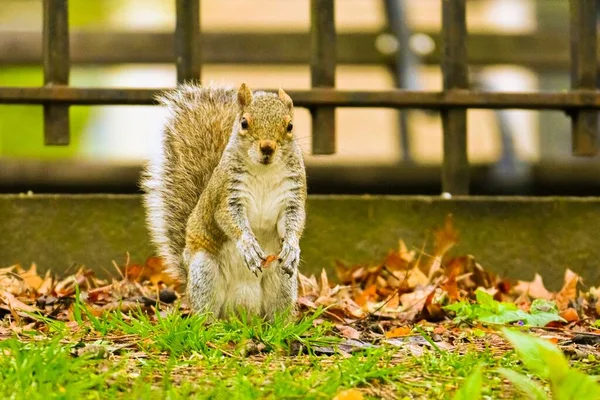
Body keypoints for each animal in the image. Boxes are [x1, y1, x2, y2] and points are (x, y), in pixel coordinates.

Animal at [140, 82, 308, 322]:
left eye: (290, 126)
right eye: (244, 123)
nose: (267, 147)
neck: (264, 172)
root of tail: (243, 314)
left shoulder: (292, 197)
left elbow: (294, 221)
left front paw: (292, 247)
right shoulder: (227, 195)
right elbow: (229, 219)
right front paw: (248, 245)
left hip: (281, 277)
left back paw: (282, 326)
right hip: (204, 271)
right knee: (206, 310)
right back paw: (210, 325)